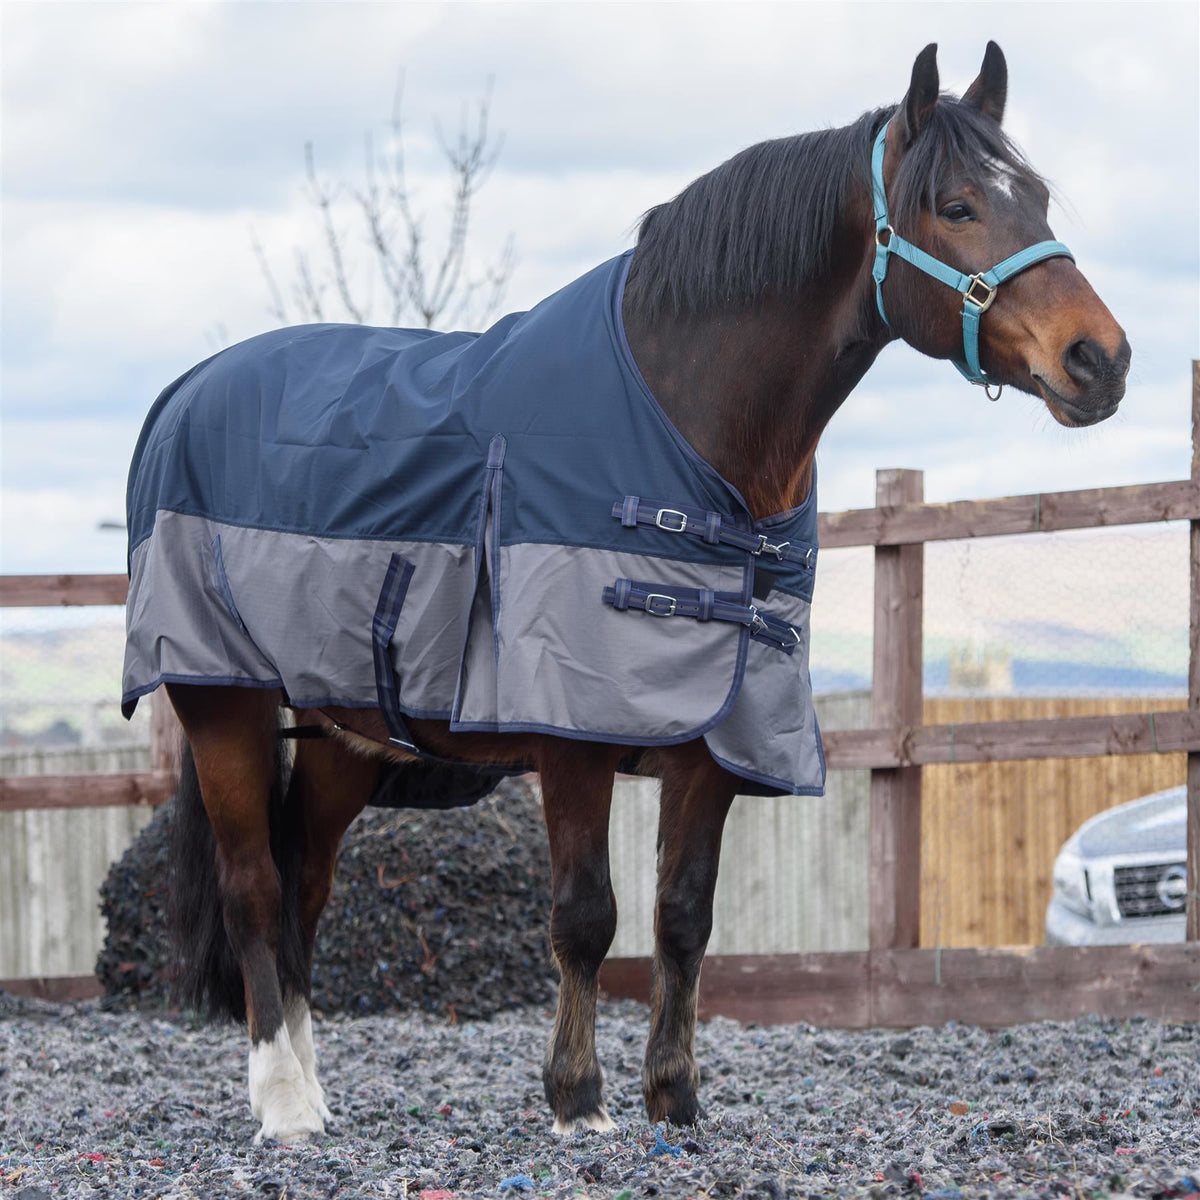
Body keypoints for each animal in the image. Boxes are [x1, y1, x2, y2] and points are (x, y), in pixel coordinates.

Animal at [123, 42, 1129, 1143]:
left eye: (1037, 196)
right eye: (955, 205)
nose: (1101, 358)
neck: (690, 432)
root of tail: (184, 393)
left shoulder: (719, 737)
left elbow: (683, 917)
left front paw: (674, 1097)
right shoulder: (573, 735)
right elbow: (587, 916)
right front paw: (577, 1099)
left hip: (347, 734)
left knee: (306, 884)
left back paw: (311, 1083)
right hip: (225, 706)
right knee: (256, 890)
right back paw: (284, 1102)